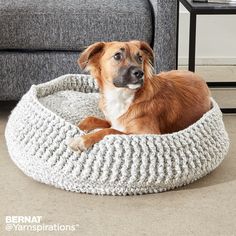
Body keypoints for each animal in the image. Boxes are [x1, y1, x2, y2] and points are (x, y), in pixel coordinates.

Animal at [68, 40, 210, 152]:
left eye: (140, 58)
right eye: (117, 56)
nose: (140, 73)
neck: (122, 96)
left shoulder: (148, 133)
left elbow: (110, 131)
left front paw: (82, 139)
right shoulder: (112, 120)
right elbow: (90, 119)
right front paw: (78, 128)